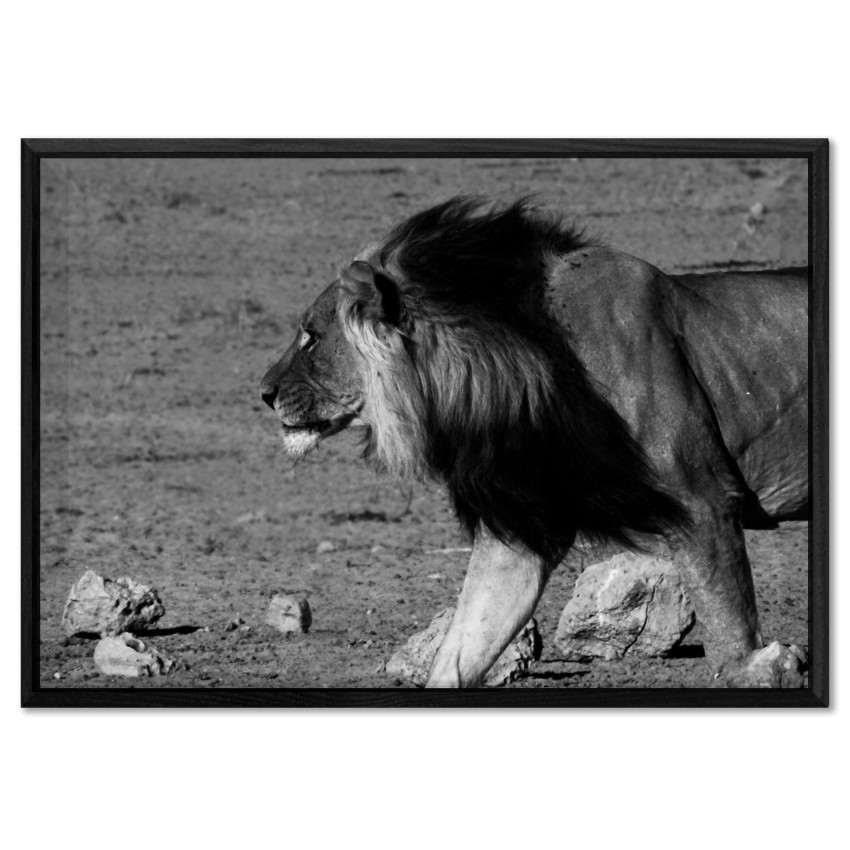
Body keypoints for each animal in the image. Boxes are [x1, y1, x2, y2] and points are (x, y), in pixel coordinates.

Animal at [260, 196, 809, 688]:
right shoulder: (525, 524)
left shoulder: (703, 498)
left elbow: (726, 621)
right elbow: (464, 644)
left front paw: (753, 668)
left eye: (310, 336)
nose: (263, 393)